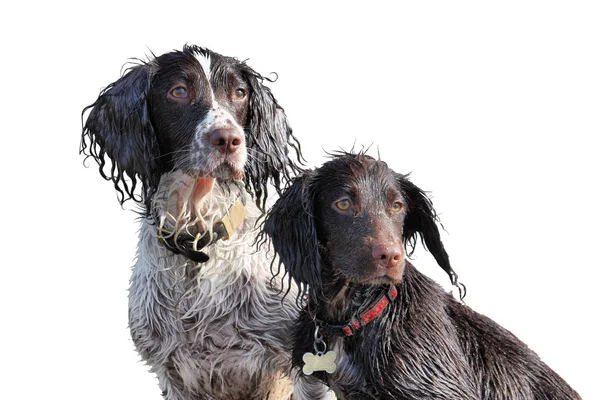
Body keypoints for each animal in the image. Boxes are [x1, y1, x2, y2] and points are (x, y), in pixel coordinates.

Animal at [81, 44, 328, 400]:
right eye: (179, 91)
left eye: (239, 93)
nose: (228, 139)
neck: (198, 241)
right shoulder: (173, 375)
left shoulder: (308, 366)